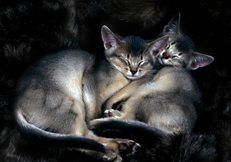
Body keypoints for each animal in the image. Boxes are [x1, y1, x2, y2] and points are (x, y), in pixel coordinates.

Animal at [12, 25, 168, 161]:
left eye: (142, 62)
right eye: (125, 59)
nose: (134, 71)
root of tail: (17, 102)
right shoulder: (90, 84)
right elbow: (93, 110)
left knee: (80, 139)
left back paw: (122, 146)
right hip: (71, 105)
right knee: (80, 138)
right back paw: (111, 151)